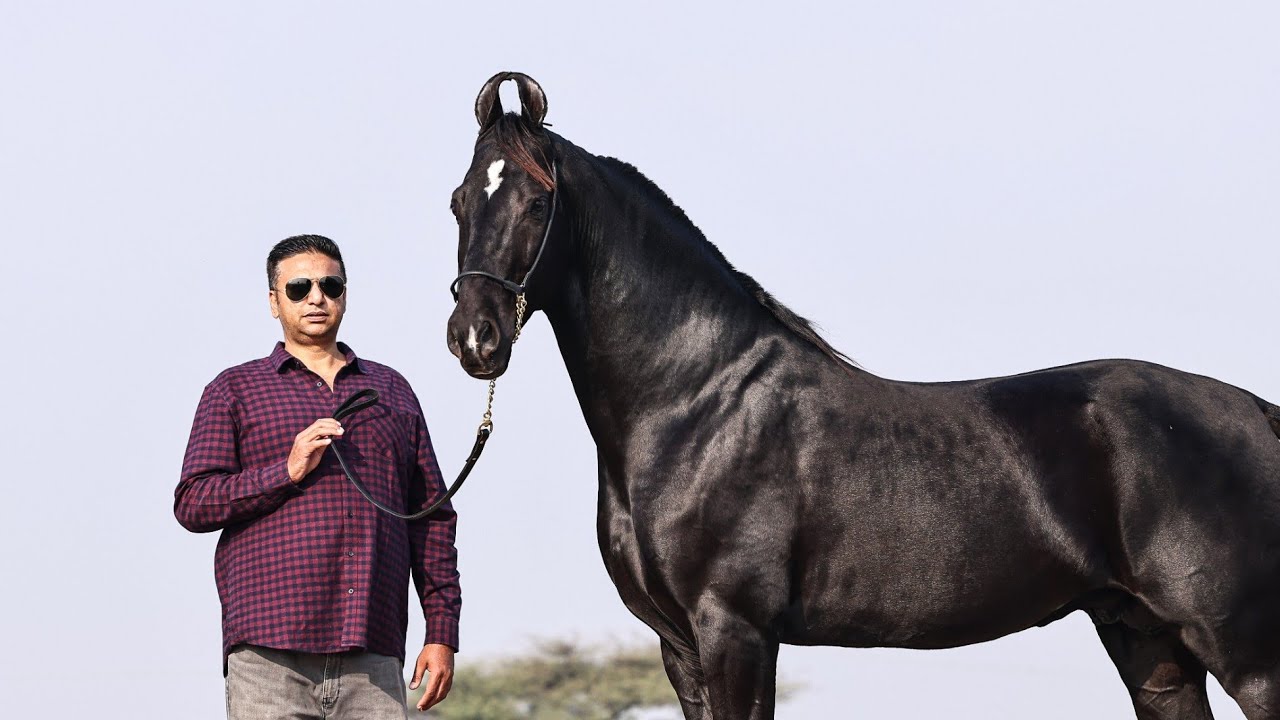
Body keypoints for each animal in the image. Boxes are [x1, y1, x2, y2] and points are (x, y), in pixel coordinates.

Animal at [444, 71, 1280, 720]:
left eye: (537, 202)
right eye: (458, 201)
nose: (474, 337)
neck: (694, 407)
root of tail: (1257, 412)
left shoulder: (735, 629)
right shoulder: (677, 642)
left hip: (1243, 651)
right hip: (1150, 644)